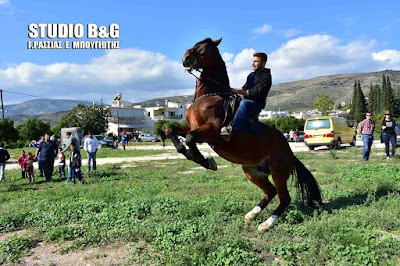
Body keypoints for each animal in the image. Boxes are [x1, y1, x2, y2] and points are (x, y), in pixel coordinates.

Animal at [166, 38, 322, 231]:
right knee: (270, 192)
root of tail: (291, 154)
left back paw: (266, 224)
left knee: (284, 197)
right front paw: (192, 155)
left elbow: (189, 139)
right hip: (252, 171)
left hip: (278, 171)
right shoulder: (193, 127)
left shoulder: (211, 130)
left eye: (206, 49)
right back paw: (251, 215)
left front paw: (207, 162)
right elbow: (172, 131)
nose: (186, 58)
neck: (210, 95)